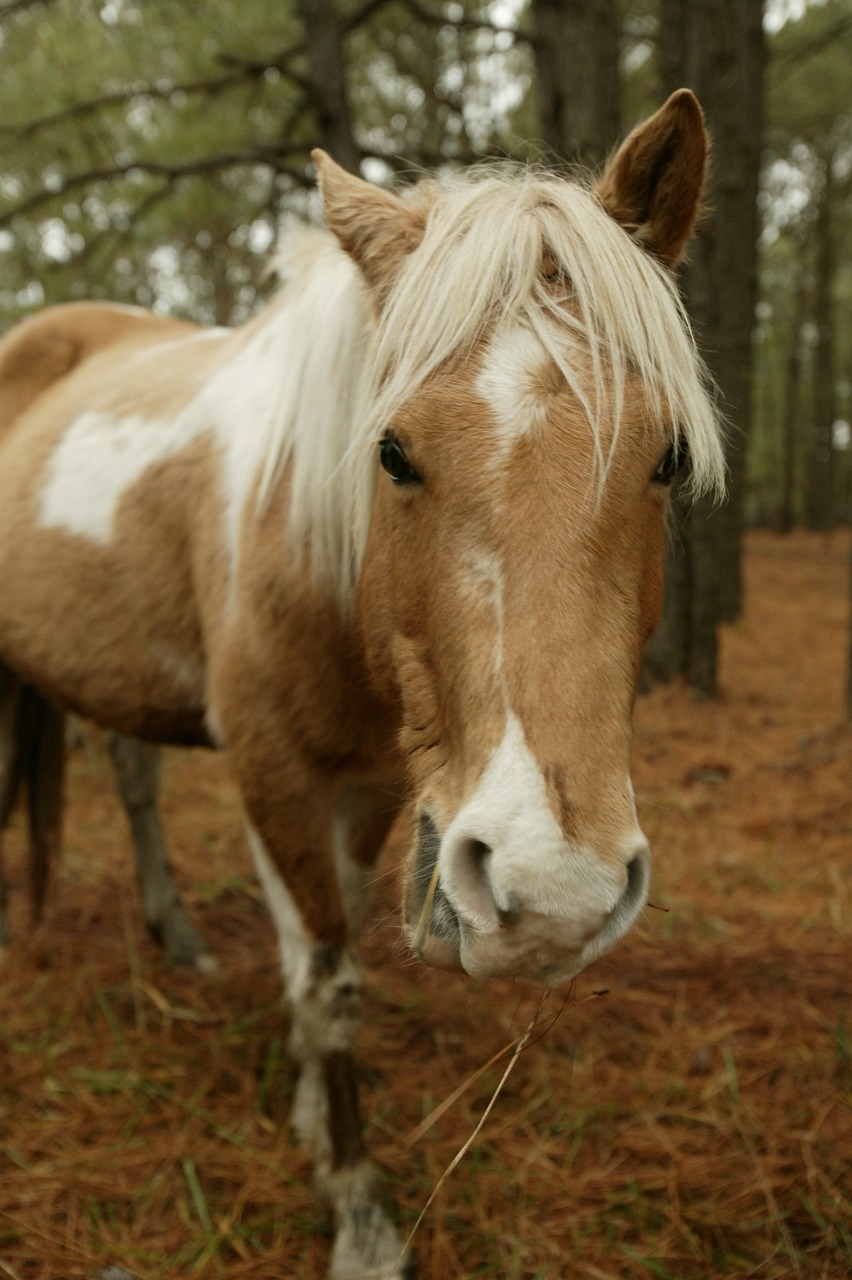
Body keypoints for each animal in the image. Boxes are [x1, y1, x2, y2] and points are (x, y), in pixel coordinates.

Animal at [0, 92, 721, 1280]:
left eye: (664, 456)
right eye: (390, 452)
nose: (554, 890)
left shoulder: (376, 786)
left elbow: (318, 958)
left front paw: (304, 1114)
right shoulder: (275, 775)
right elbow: (326, 980)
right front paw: (358, 1208)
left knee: (133, 781)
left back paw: (176, 937)